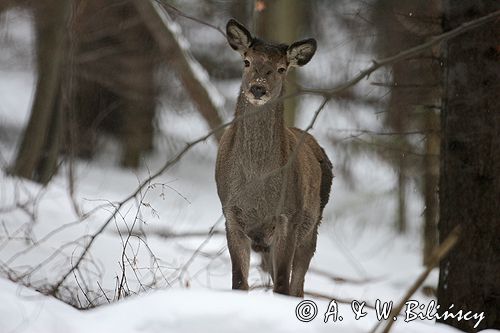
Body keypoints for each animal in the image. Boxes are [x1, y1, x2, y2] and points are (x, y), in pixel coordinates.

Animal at [215, 18, 332, 296]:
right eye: (246, 61)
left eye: (281, 68)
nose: (258, 88)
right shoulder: (230, 213)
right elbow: (239, 282)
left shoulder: (289, 215)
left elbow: (281, 284)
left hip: (313, 225)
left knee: (297, 286)